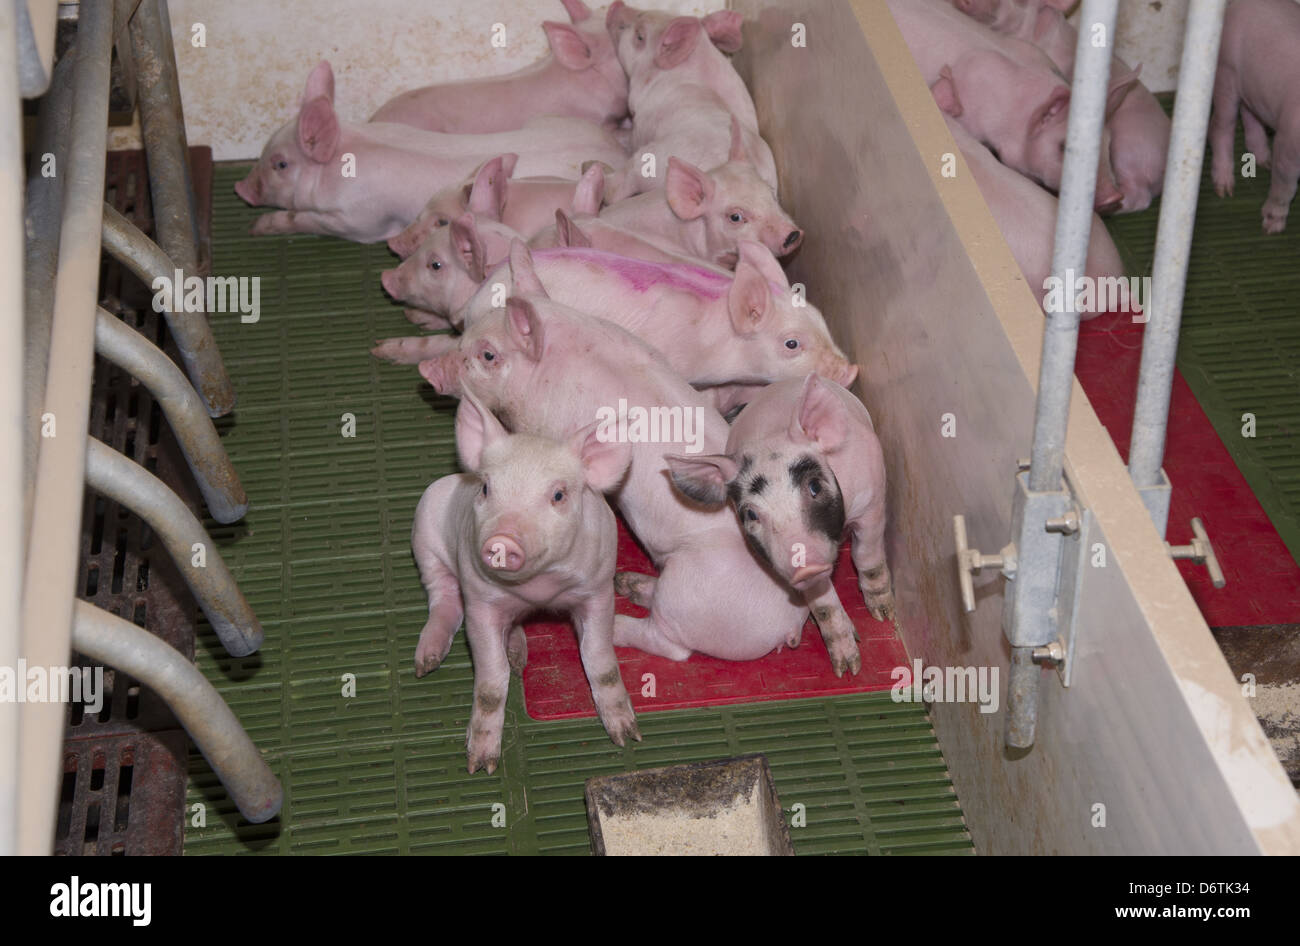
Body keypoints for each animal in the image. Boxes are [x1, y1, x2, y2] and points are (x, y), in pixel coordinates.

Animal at [233, 61, 626, 243]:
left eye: (280, 163)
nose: (241, 188)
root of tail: (614, 150)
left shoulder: (360, 220)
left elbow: (306, 219)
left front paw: (257, 227)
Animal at [411, 390, 639, 774]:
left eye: (558, 495)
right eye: (486, 488)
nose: (503, 539)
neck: (537, 591)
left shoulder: (597, 589)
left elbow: (600, 660)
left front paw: (627, 737)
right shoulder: (480, 603)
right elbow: (491, 681)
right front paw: (480, 766)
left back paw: (518, 656)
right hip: (424, 535)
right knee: (444, 599)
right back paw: (425, 663)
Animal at [414, 285, 817, 668]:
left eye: (488, 354)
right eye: (465, 334)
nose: (426, 369)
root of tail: (791, 623)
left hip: (692, 589)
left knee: (672, 646)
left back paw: (615, 624)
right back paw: (630, 584)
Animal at [665, 375, 894, 676]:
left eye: (815, 486)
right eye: (751, 514)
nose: (805, 566)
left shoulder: (873, 501)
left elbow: (868, 556)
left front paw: (883, 615)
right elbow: (823, 605)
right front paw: (846, 668)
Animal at [1211, 0, 1300, 234]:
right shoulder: (1288, 141)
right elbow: (1284, 184)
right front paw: (1271, 227)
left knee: (1249, 111)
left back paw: (1263, 160)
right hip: (1225, 71)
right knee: (1222, 125)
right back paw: (1225, 189)